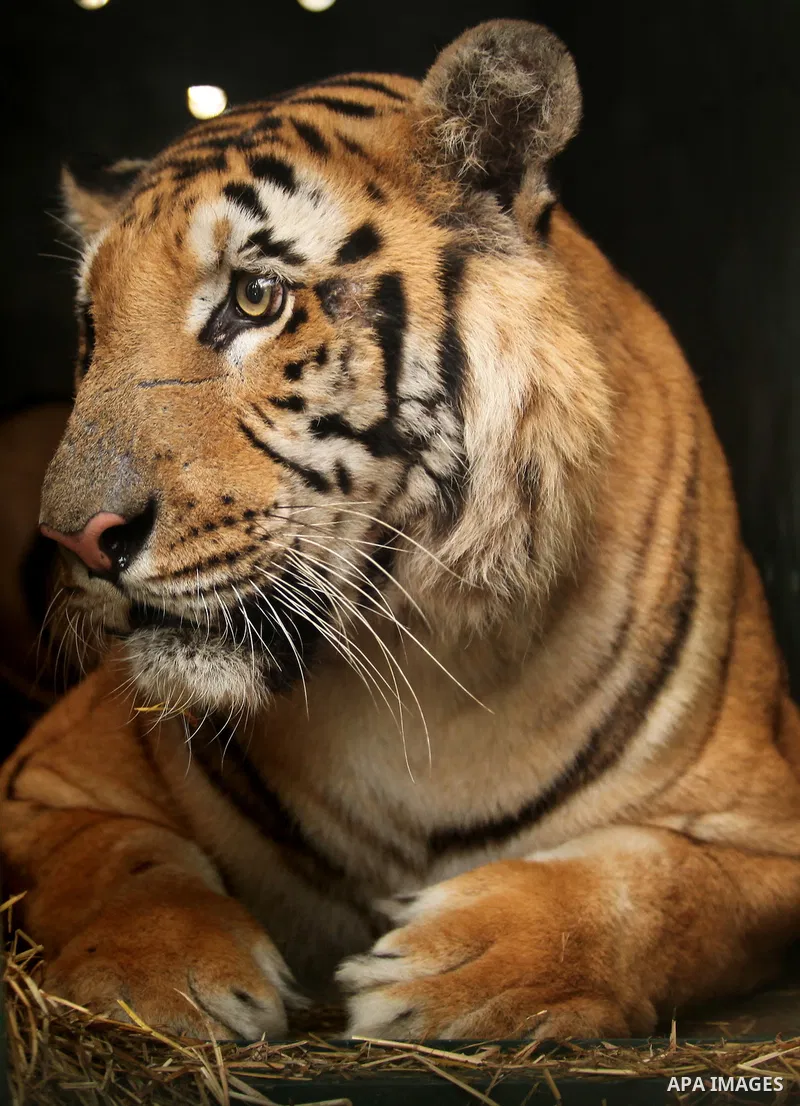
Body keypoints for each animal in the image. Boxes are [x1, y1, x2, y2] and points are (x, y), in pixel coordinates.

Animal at [1, 19, 799, 1043]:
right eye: (91, 332)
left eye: (254, 298)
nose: (79, 539)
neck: (422, 659)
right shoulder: (41, 784)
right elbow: (107, 863)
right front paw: (160, 973)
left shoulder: (766, 829)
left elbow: (663, 890)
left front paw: (460, 965)